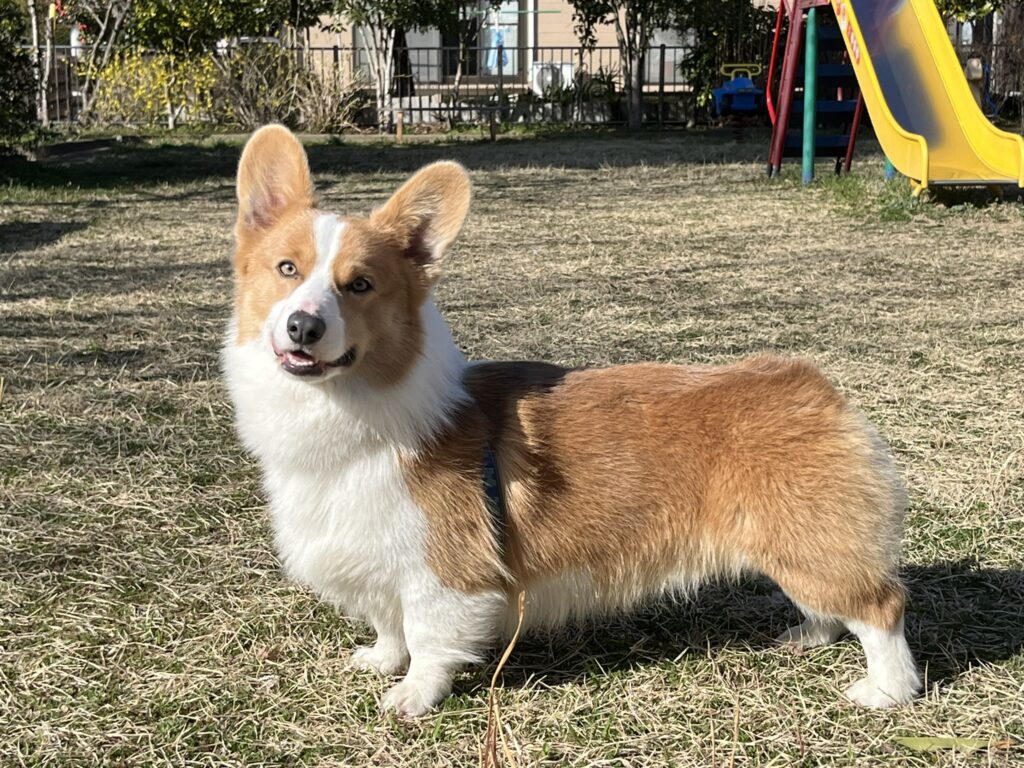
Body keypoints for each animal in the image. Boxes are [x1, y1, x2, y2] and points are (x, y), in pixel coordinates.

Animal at [228, 123, 925, 720]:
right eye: (287, 269)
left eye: (361, 285)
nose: (303, 326)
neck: (352, 411)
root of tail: (814, 387)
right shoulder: (375, 561)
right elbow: (390, 625)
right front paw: (379, 660)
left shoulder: (444, 574)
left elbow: (427, 640)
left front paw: (412, 697)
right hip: (795, 544)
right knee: (832, 605)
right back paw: (808, 634)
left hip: (806, 543)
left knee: (881, 607)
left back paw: (887, 691)